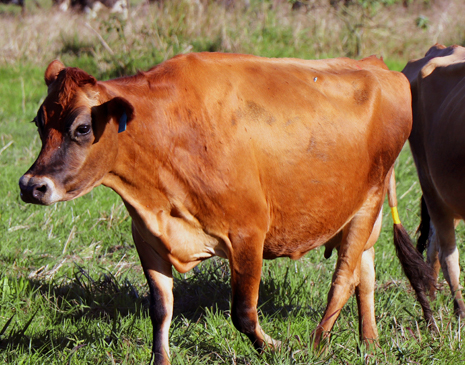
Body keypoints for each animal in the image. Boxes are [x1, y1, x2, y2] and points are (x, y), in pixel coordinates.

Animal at [18, 52, 432, 362]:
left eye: (82, 127)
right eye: (39, 121)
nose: (31, 185)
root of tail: (377, 64)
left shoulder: (248, 233)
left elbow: (243, 314)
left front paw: (274, 347)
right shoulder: (147, 236)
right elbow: (160, 308)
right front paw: (160, 359)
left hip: (369, 201)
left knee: (344, 277)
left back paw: (318, 344)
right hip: (363, 211)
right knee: (366, 272)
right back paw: (369, 341)